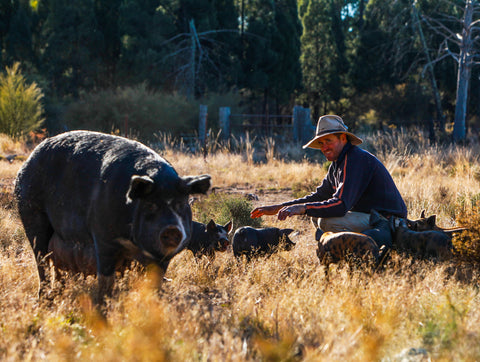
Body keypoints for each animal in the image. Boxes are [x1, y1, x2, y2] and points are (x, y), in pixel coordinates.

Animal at [15, 132, 211, 302]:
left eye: (181, 205)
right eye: (151, 205)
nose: (172, 228)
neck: (135, 246)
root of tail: (27, 161)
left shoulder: (162, 260)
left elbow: (154, 284)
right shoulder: (103, 239)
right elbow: (106, 280)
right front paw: (104, 305)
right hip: (31, 213)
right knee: (41, 260)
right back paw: (44, 298)